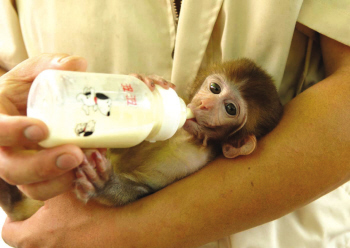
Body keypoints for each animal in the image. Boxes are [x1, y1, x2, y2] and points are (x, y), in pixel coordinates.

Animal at [0, 58, 284, 221]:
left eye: (230, 109)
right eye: (214, 88)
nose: (203, 104)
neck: (187, 135)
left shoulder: (191, 162)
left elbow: (144, 192)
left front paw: (103, 184)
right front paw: (144, 81)